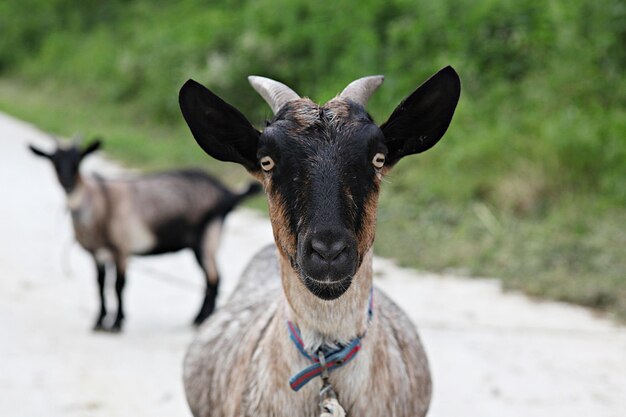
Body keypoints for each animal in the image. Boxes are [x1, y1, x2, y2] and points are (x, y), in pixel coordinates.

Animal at [27, 140, 258, 332]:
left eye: (78, 161)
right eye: (54, 162)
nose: (67, 183)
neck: (100, 202)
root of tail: (228, 194)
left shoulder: (122, 249)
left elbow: (119, 285)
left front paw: (117, 323)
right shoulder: (98, 254)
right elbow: (100, 285)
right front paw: (99, 321)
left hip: (207, 236)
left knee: (213, 278)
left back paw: (201, 319)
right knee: (211, 278)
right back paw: (200, 317)